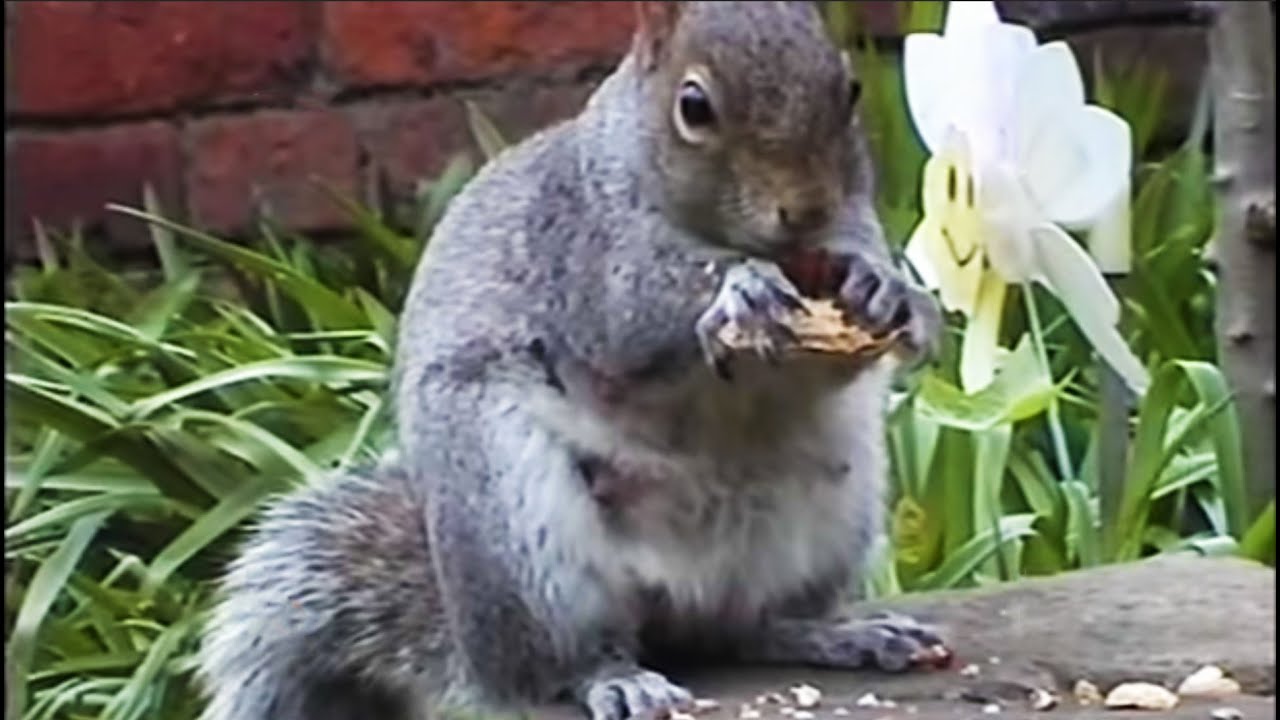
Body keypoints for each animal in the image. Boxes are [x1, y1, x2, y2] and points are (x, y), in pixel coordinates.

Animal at [196, 2, 946, 720]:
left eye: (850, 89)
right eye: (694, 107)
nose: (807, 210)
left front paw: (894, 293)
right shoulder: (582, 248)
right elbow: (629, 315)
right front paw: (740, 288)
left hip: (838, 506)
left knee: (751, 627)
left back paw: (838, 634)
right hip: (519, 532)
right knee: (563, 662)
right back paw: (614, 680)